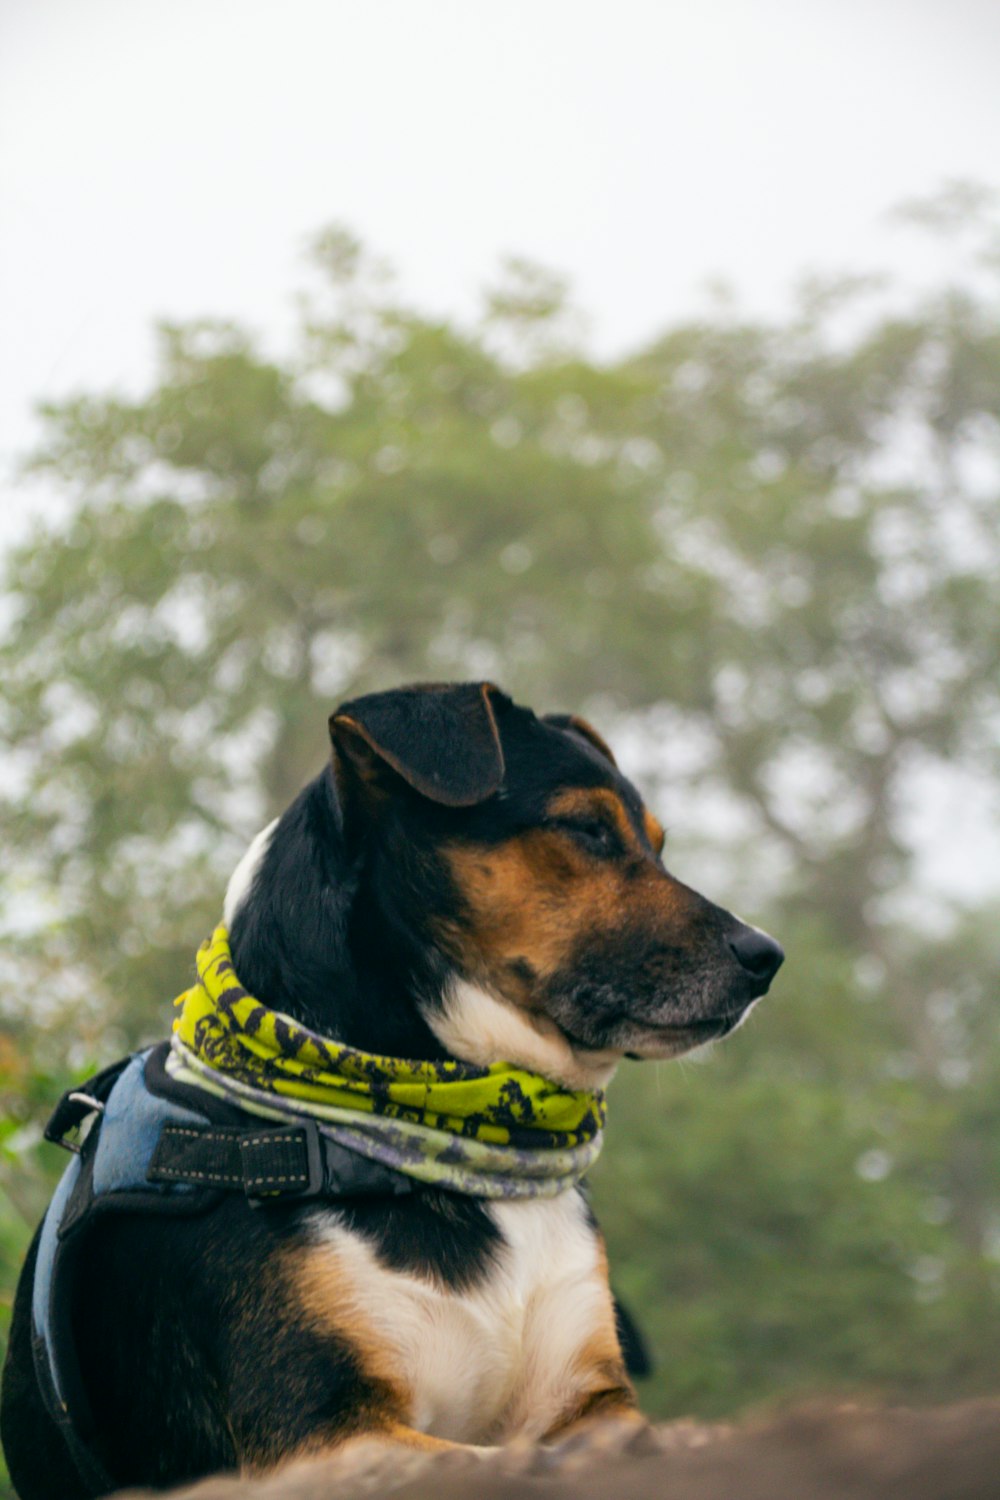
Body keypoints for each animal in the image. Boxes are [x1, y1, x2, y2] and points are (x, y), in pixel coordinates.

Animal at [0, 687, 785, 1494]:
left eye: (656, 844)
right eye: (587, 829)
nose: (766, 956)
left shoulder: (591, 1397)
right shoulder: (320, 1433)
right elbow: (509, 1460)